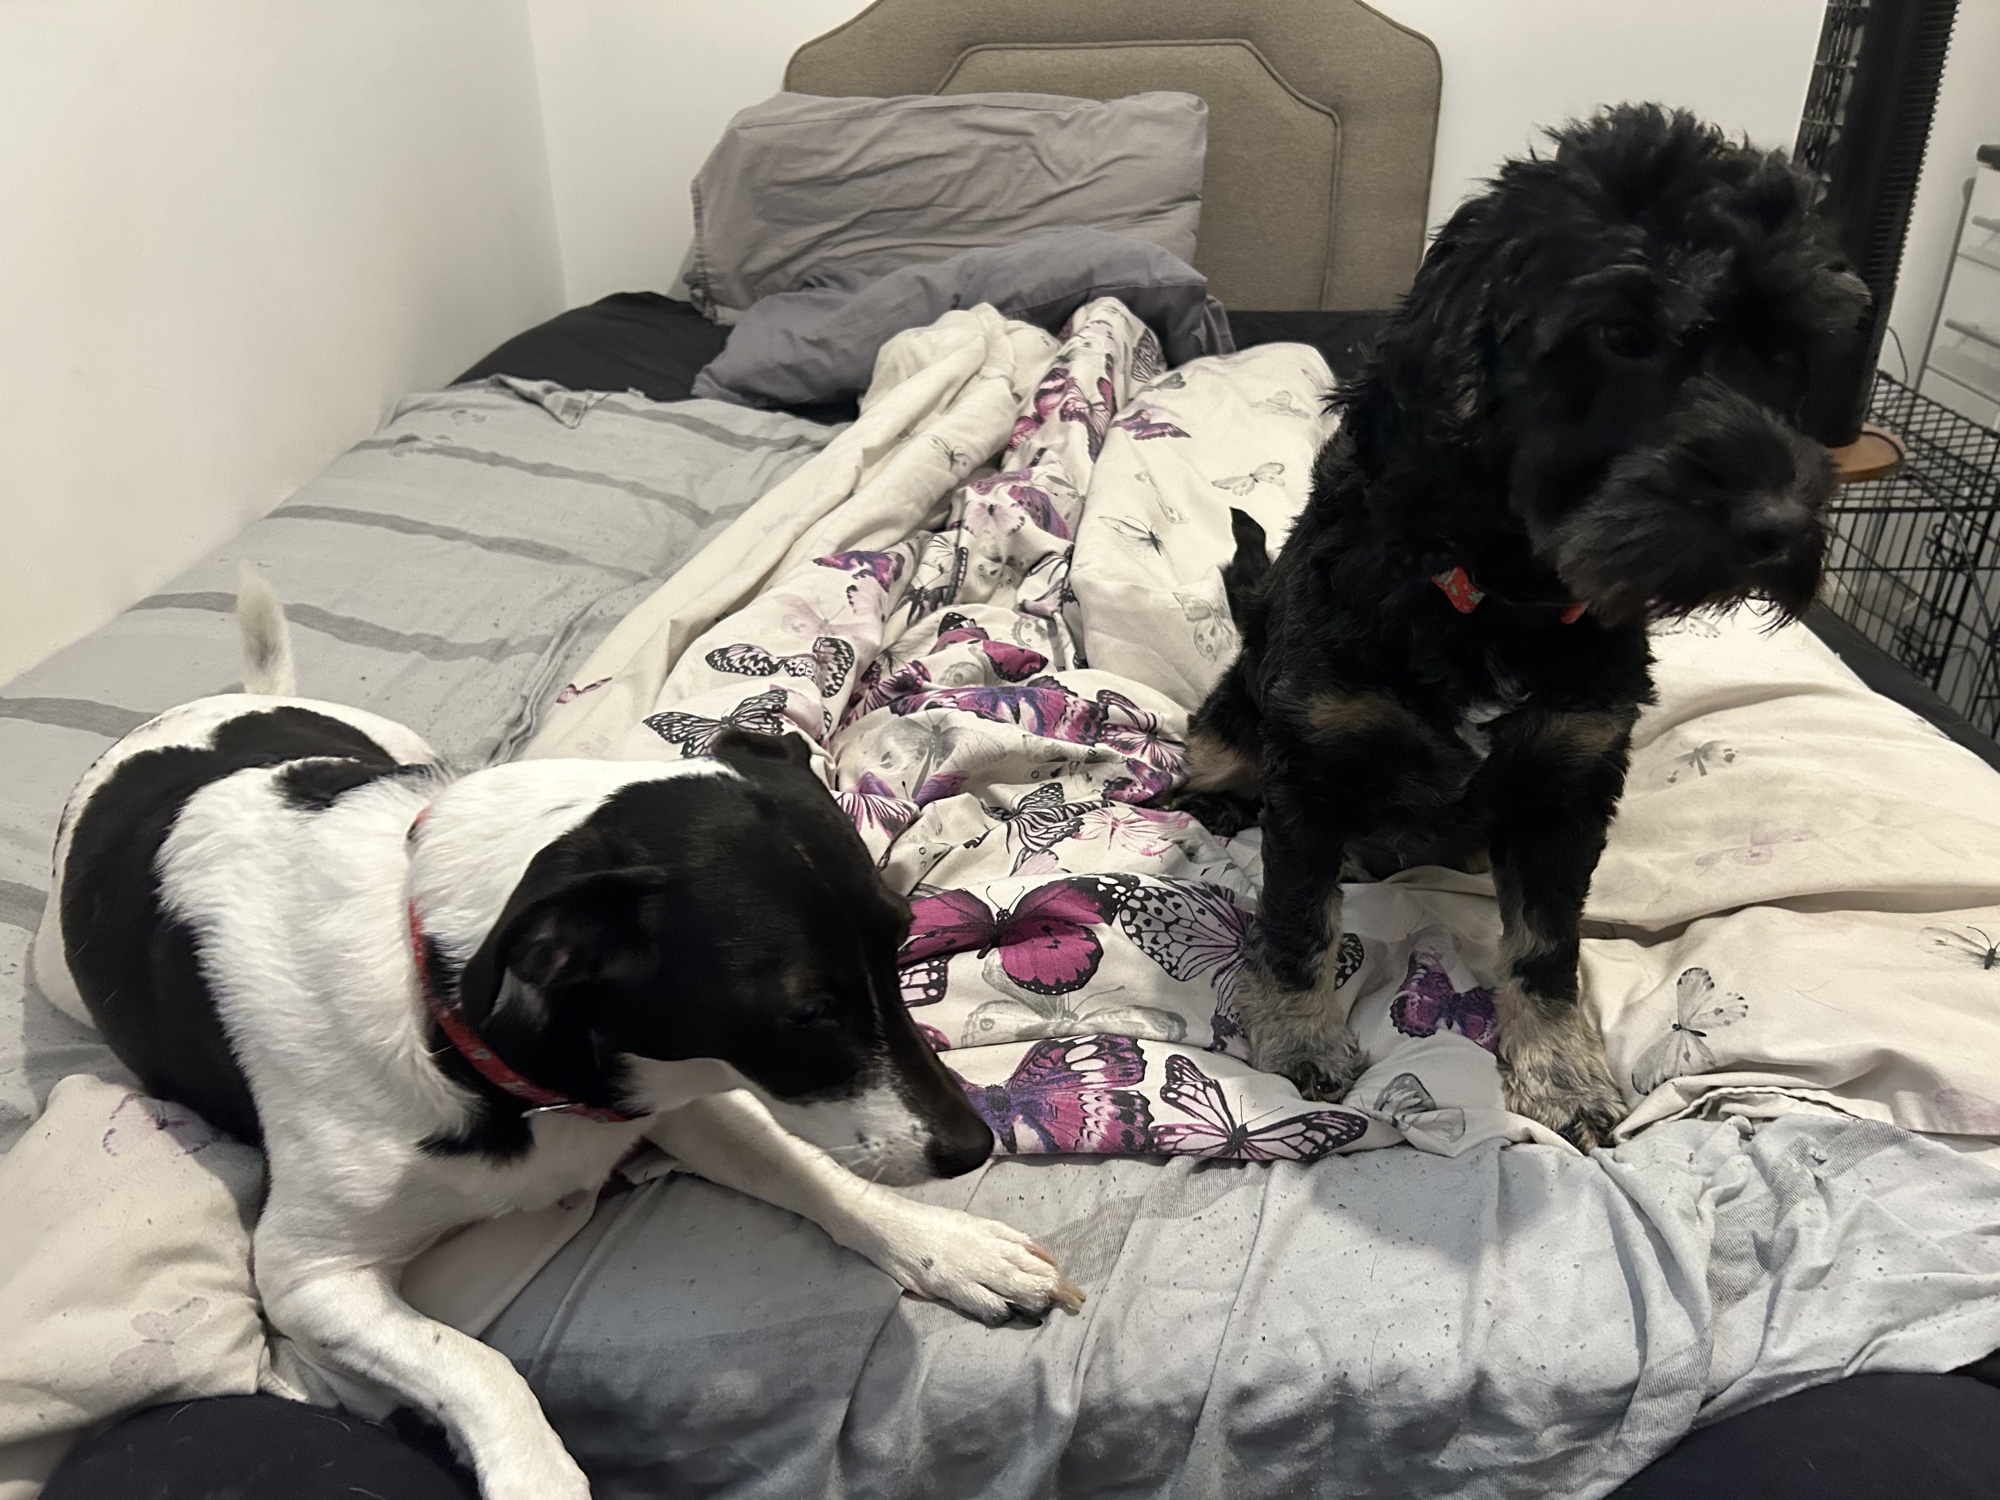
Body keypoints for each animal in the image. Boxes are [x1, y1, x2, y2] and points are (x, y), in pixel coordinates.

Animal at [32, 566, 1081, 1500]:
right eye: (806, 1010)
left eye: (902, 939)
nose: (973, 1146)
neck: (449, 998)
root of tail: (214, 709)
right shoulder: (304, 1274)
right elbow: (475, 1363)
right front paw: (538, 1473)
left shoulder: (679, 1097)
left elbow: (818, 1174)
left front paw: (948, 1247)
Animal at [1171, 105, 1868, 1149]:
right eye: (1623, 332)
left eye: (1788, 350)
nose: (1781, 526)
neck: (1502, 596)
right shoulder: (1314, 762)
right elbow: (1297, 917)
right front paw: (1299, 1037)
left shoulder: (1569, 787)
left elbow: (1545, 944)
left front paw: (1561, 1073)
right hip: (1234, 717)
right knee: (1209, 766)